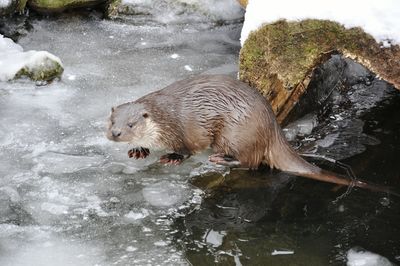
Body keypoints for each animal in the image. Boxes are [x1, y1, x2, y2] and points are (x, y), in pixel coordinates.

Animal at [108, 75, 396, 193]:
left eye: (132, 124)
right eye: (111, 120)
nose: (116, 133)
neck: (163, 119)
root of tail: (272, 126)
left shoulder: (183, 131)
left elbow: (187, 149)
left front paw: (172, 157)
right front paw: (138, 150)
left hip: (235, 132)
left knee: (251, 161)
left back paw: (221, 159)